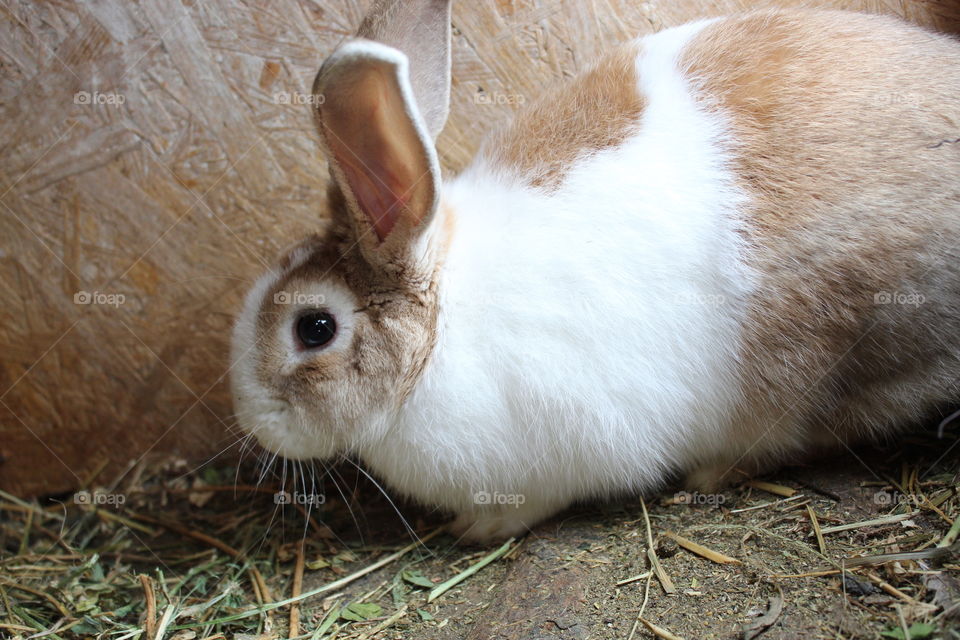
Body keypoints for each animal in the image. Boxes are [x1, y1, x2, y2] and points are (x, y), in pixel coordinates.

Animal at [231, 0, 960, 542]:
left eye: (315, 328)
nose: (250, 419)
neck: (439, 330)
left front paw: (477, 527)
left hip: (828, 350)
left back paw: (710, 473)